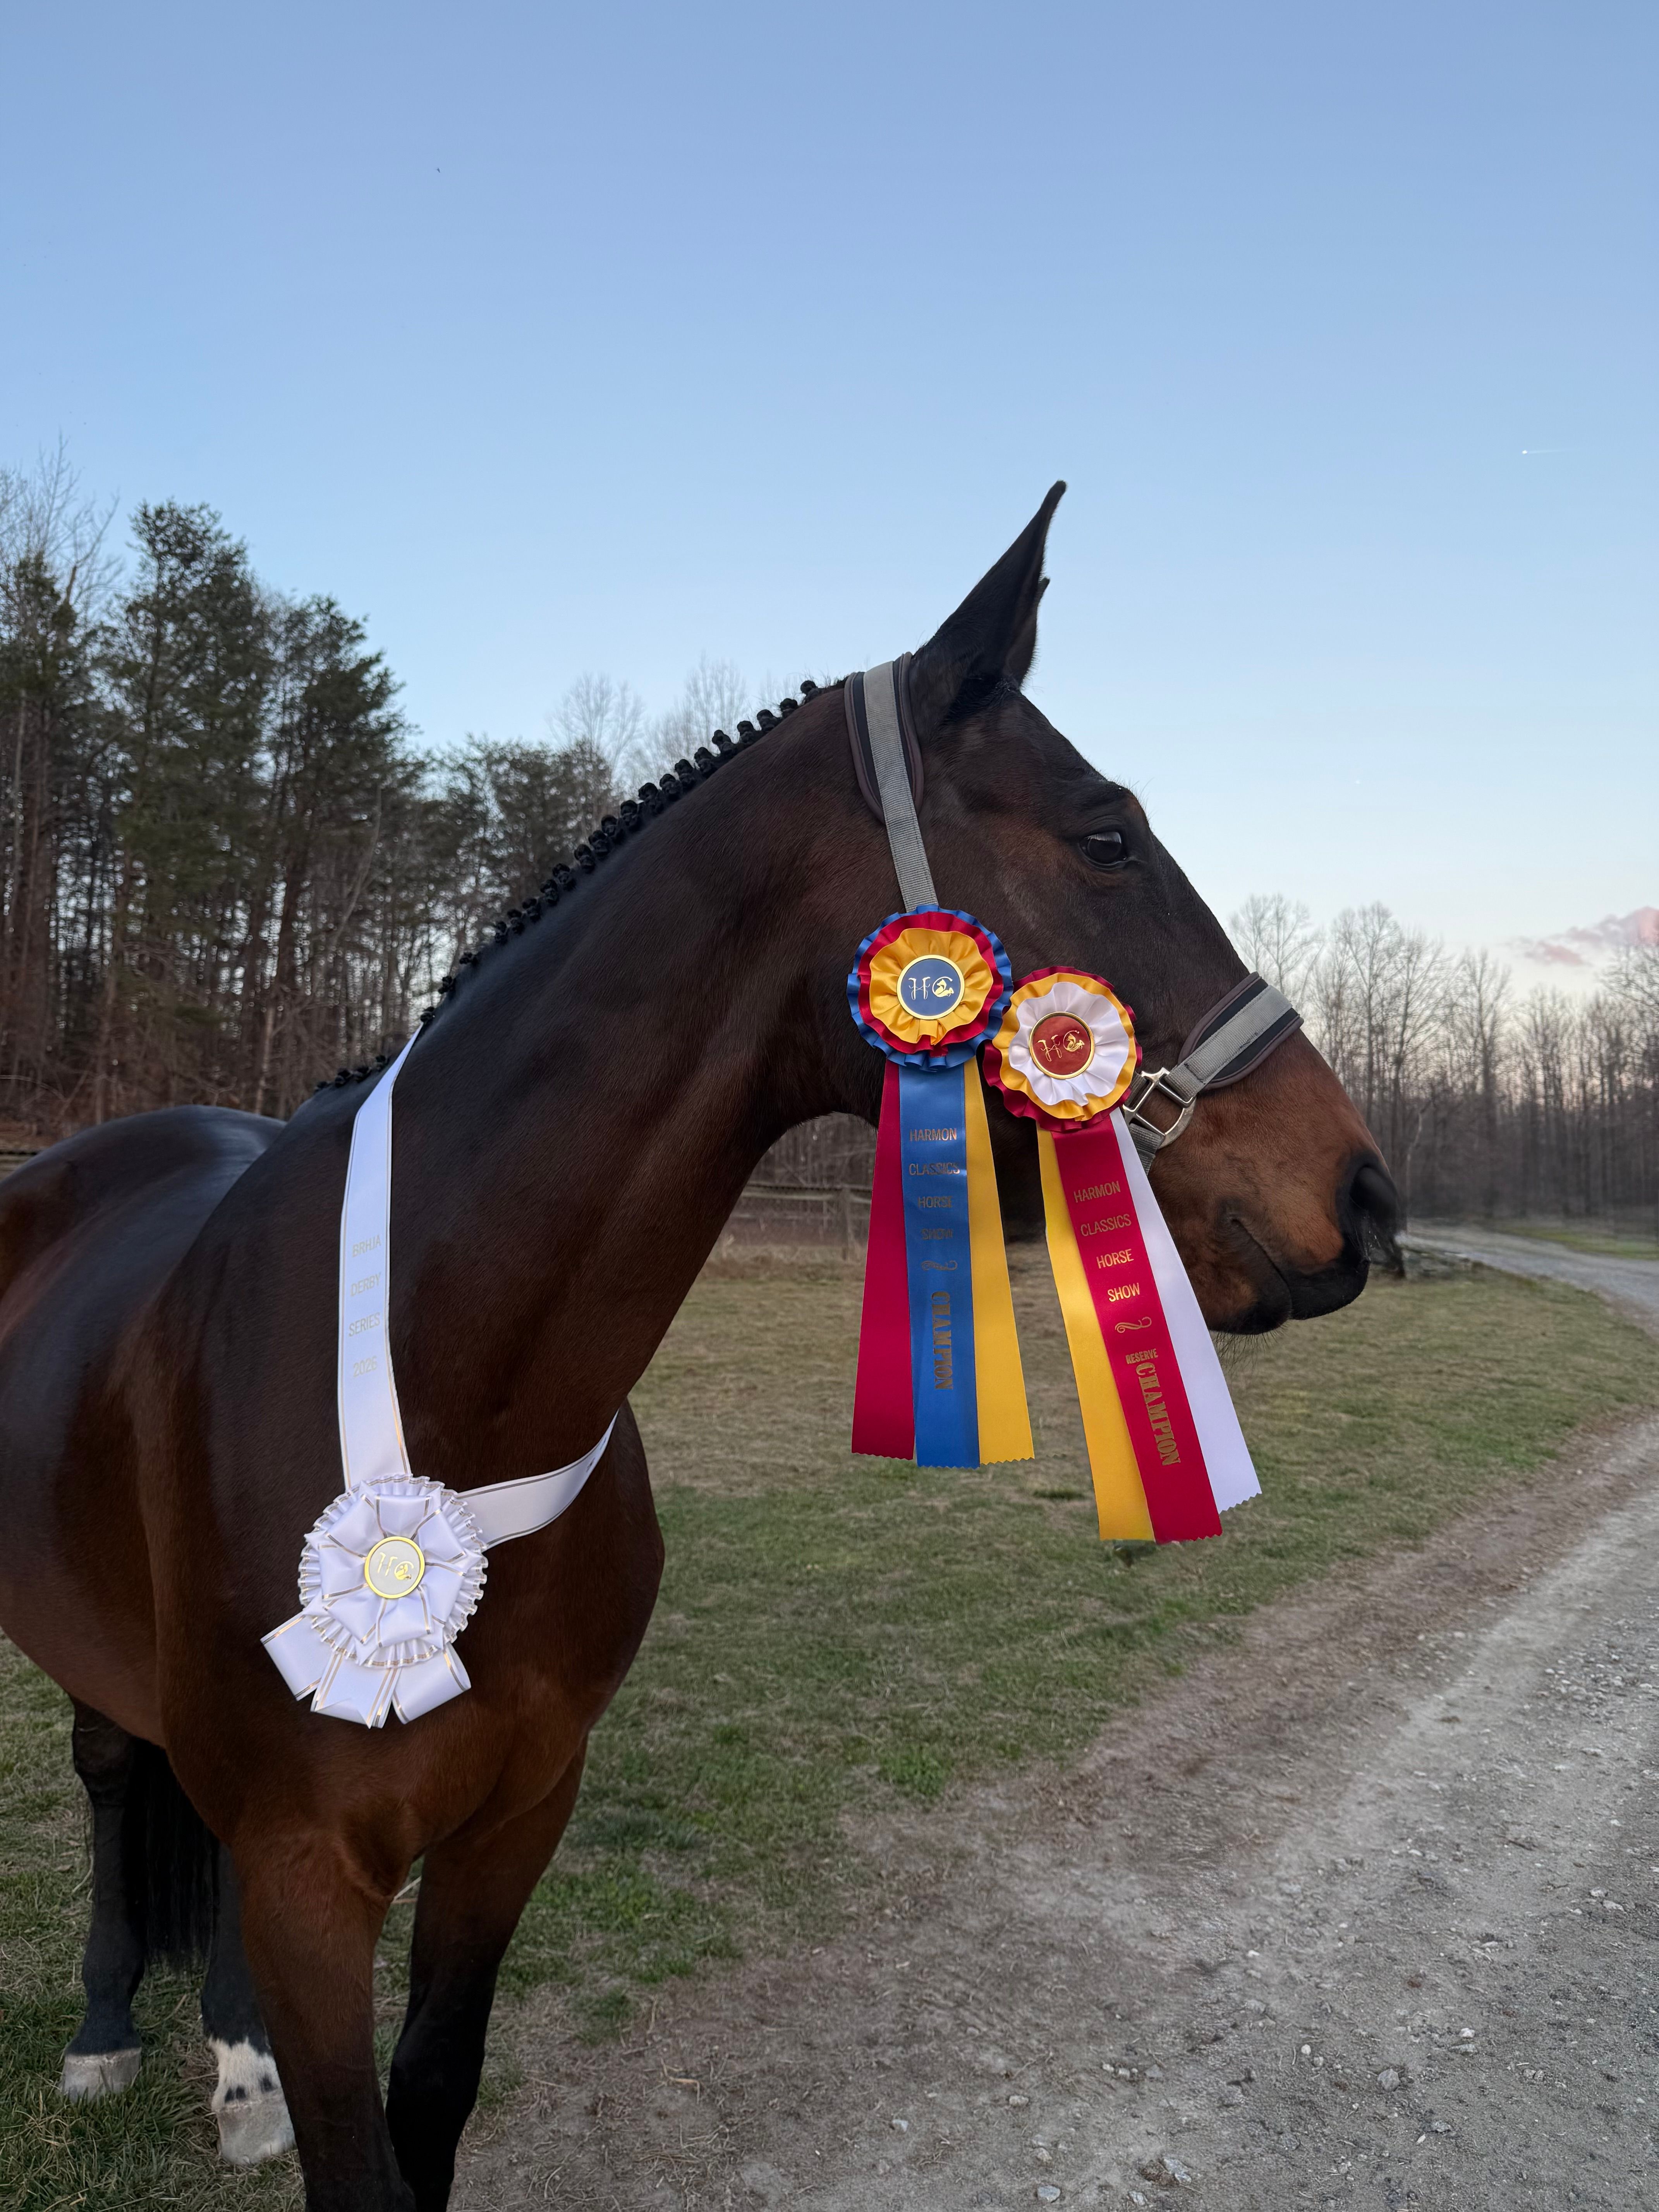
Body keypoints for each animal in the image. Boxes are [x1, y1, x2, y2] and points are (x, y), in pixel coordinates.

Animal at [0, 485, 1397, 2210]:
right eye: (1106, 837)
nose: (1363, 1194)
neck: (449, 1394)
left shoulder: (511, 1822)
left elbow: (430, 2099)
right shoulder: (308, 1871)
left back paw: (233, 2065)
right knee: (111, 1775)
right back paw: (102, 2038)